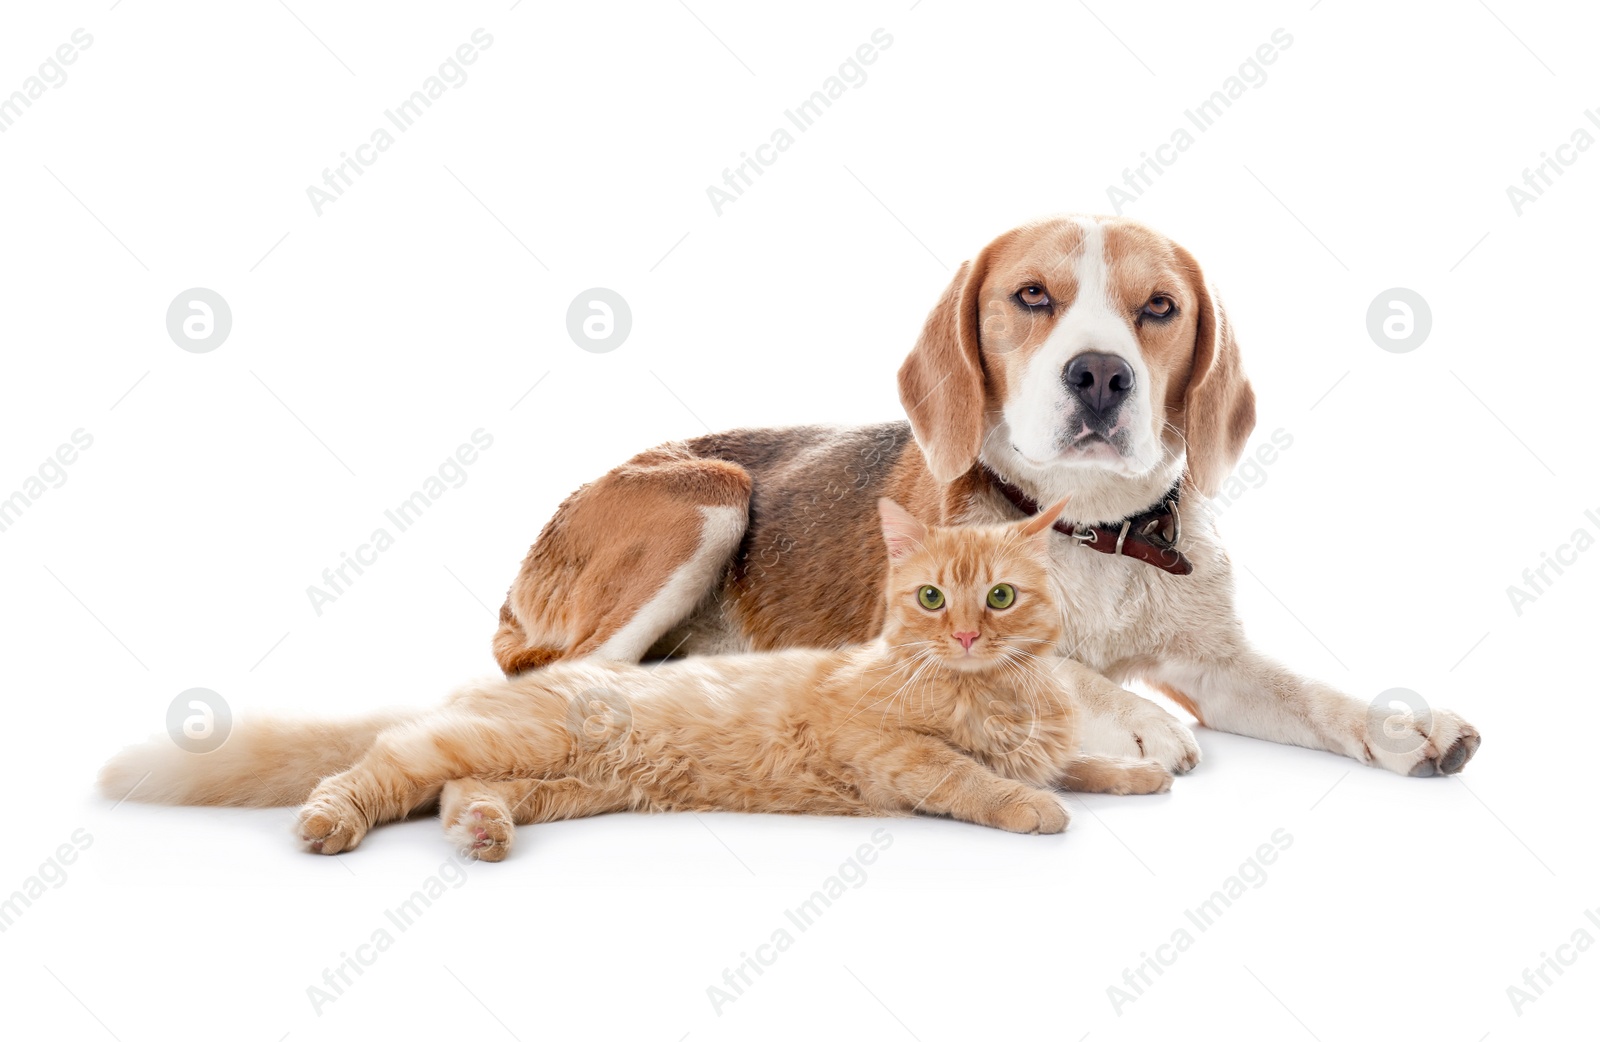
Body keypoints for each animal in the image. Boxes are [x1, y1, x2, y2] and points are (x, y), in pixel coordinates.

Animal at [103, 502, 1177, 857]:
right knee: (378, 765)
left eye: (997, 598)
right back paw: (329, 824)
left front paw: (1135, 775)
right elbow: (977, 780)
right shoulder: (889, 752)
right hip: (503, 739)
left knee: (454, 791)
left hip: (560, 784)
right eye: (927, 599)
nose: (960, 635)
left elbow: (1077, 764)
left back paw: (482, 834)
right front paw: (1037, 810)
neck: (1001, 691)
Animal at [492, 216, 1478, 777]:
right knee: (561, 675)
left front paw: (1405, 723)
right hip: (711, 493)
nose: (1101, 375)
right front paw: (1132, 718)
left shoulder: (1214, 667)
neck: (1088, 530)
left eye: (1160, 308)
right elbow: (1059, 668)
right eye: (1031, 295)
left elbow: (1310, 694)